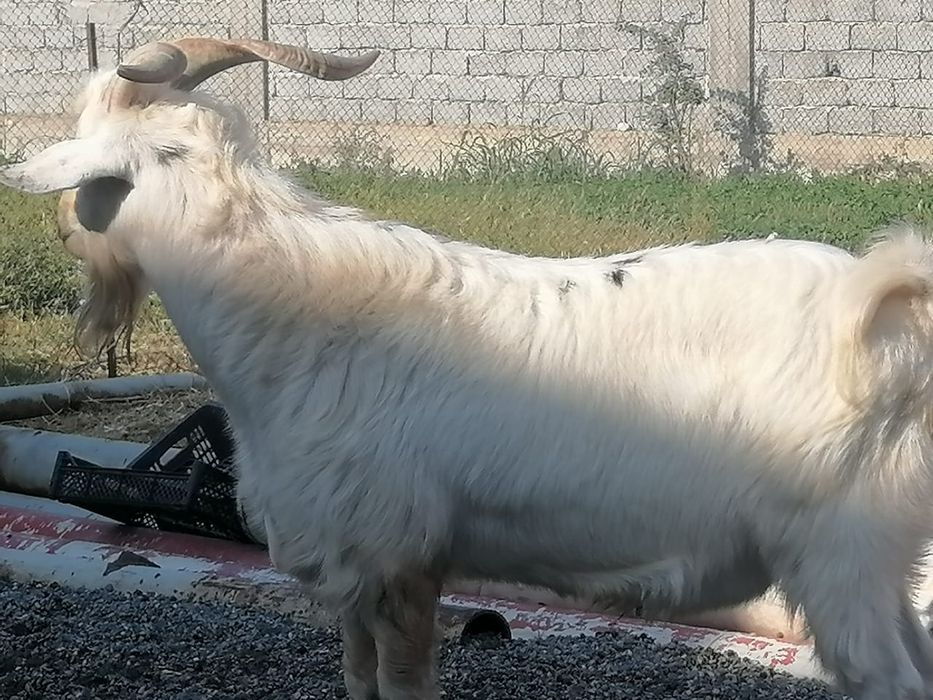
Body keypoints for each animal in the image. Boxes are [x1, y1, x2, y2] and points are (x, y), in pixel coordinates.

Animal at [3, 36, 933, 700]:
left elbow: (407, 688)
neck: (296, 306)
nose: (59, 221)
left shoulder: (401, 559)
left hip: (841, 553)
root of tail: (889, 315)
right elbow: (359, 683)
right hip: (881, 562)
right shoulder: (352, 570)